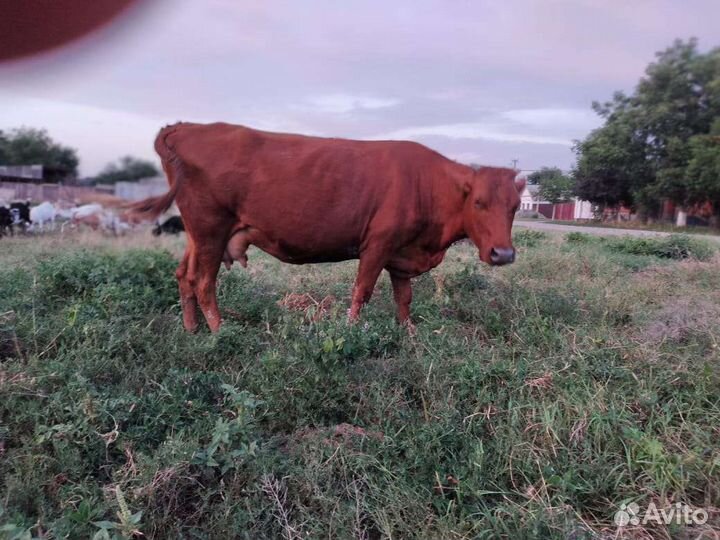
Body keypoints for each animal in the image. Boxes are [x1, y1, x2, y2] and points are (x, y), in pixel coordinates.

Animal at [130, 122, 525, 333]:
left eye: (516, 206)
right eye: (479, 202)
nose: (503, 254)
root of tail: (185, 127)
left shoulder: (402, 254)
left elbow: (404, 297)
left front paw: (408, 331)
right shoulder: (377, 245)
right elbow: (362, 291)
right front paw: (351, 330)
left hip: (198, 235)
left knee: (184, 276)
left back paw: (192, 328)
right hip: (210, 230)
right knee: (202, 282)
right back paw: (220, 331)